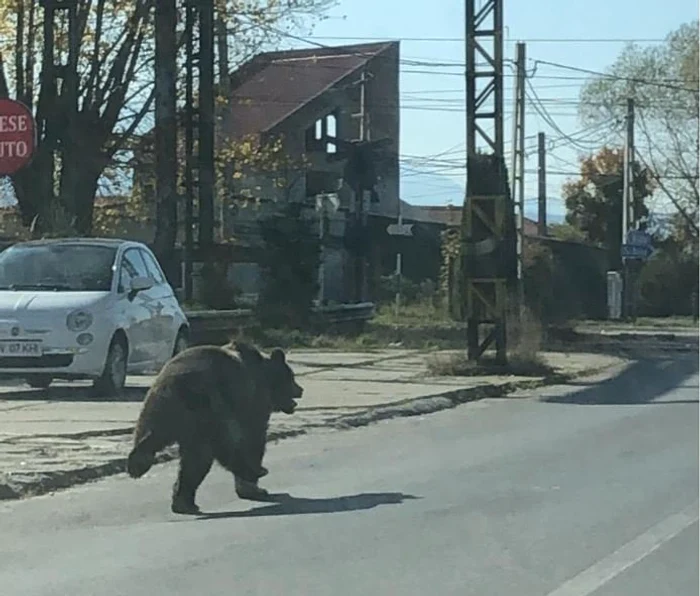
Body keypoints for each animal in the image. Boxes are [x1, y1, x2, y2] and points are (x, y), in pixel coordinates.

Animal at [127, 340, 302, 512]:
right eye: (292, 377)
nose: (301, 389)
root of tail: (174, 385)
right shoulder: (252, 400)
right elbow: (253, 436)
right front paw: (254, 488)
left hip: (160, 410)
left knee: (174, 448)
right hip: (211, 407)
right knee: (218, 447)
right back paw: (254, 471)